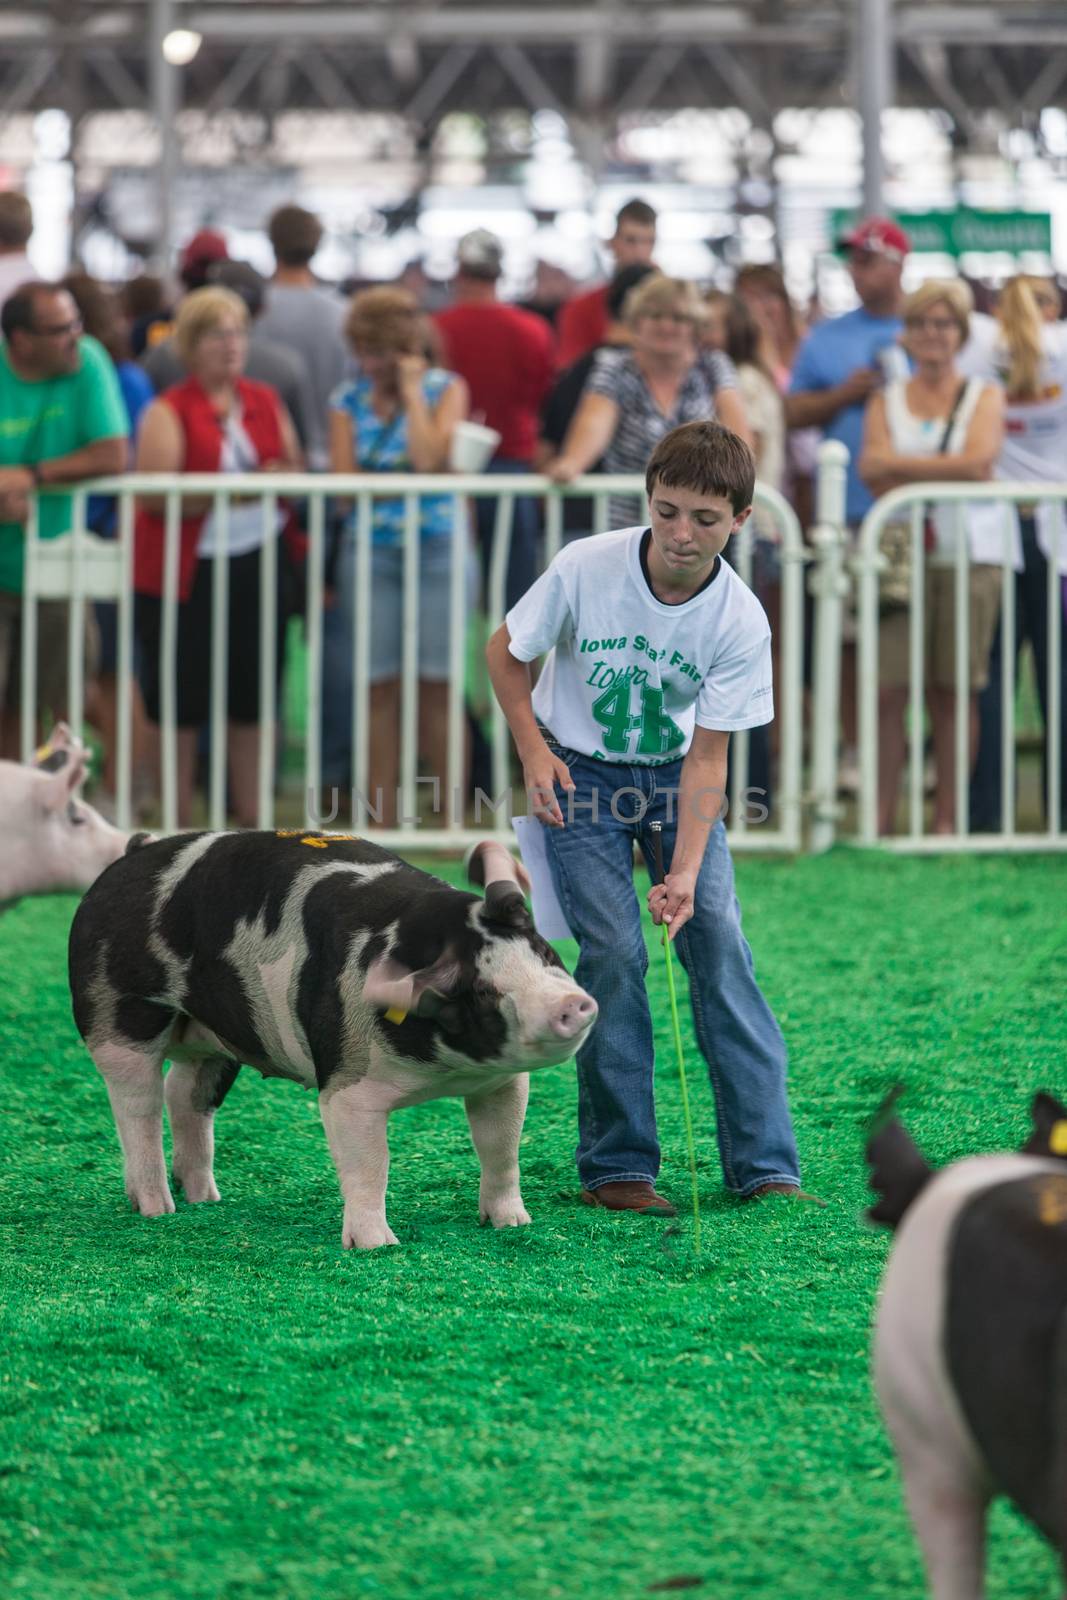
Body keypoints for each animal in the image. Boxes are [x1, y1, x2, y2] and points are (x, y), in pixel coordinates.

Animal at [69, 832, 598, 1254]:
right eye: (484, 989)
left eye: (545, 954)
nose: (573, 1003)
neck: (444, 1072)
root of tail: (131, 854)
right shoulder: (348, 1084)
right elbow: (370, 1164)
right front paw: (377, 1247)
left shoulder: (501, 1082)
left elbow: (501, 1148)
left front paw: (513, 1224)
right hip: (118, 1016)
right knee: (137, 1109)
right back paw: (158, 1209)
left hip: (215, 1038)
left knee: (185, 1095)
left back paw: (206, 1197)